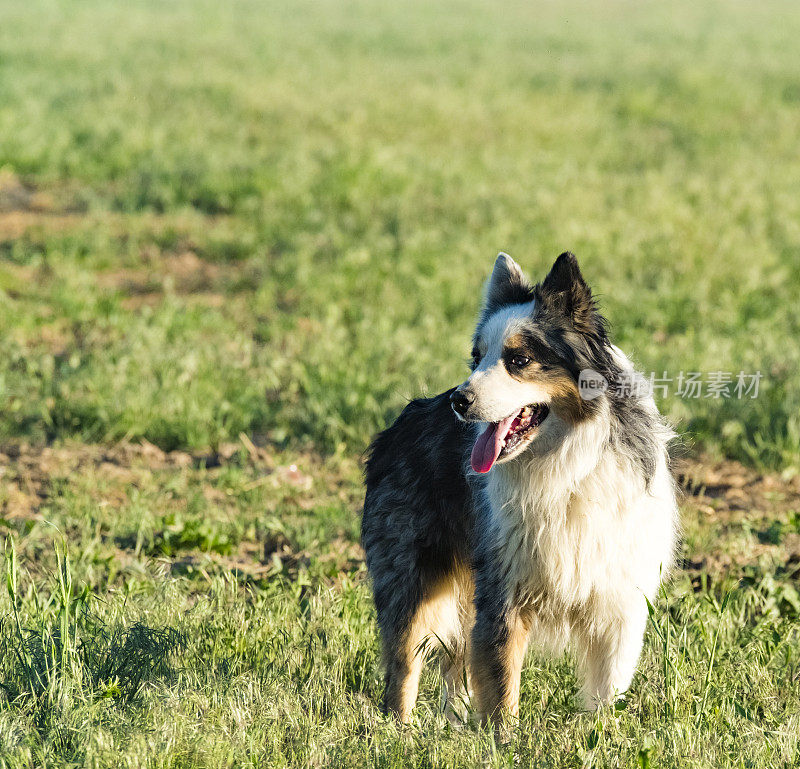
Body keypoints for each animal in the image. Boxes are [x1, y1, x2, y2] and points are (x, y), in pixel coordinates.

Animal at [360, 252, 680, 728]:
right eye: (476, 358)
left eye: (519, 359)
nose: (458, 401)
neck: (567, 461)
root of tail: (396, 425)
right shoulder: (503, 586)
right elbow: (501, 684)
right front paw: (504, 739)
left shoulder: (618, 594)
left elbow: (607, 686)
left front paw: (601, 734)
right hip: (411, 573)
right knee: (404, 660)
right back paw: (399, 729)